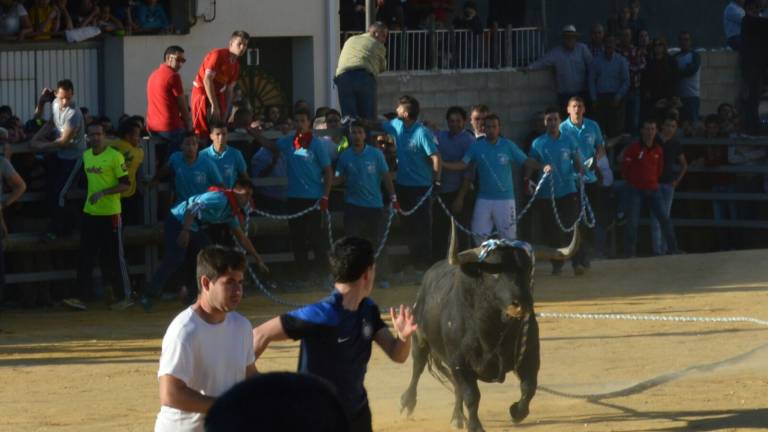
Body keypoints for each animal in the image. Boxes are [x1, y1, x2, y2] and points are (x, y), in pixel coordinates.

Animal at [402, 224, 576, 430]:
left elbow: (529, 387)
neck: (492, 328)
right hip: (420, 339)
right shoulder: (460, 361)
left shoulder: (530, 355)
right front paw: (475, 426)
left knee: (455, 386)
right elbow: (472, 395)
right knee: (418, 367)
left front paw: (516, 412)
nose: (521, 304)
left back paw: (457, 417)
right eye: (494, 273)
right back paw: (408, 403)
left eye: (527, 269)